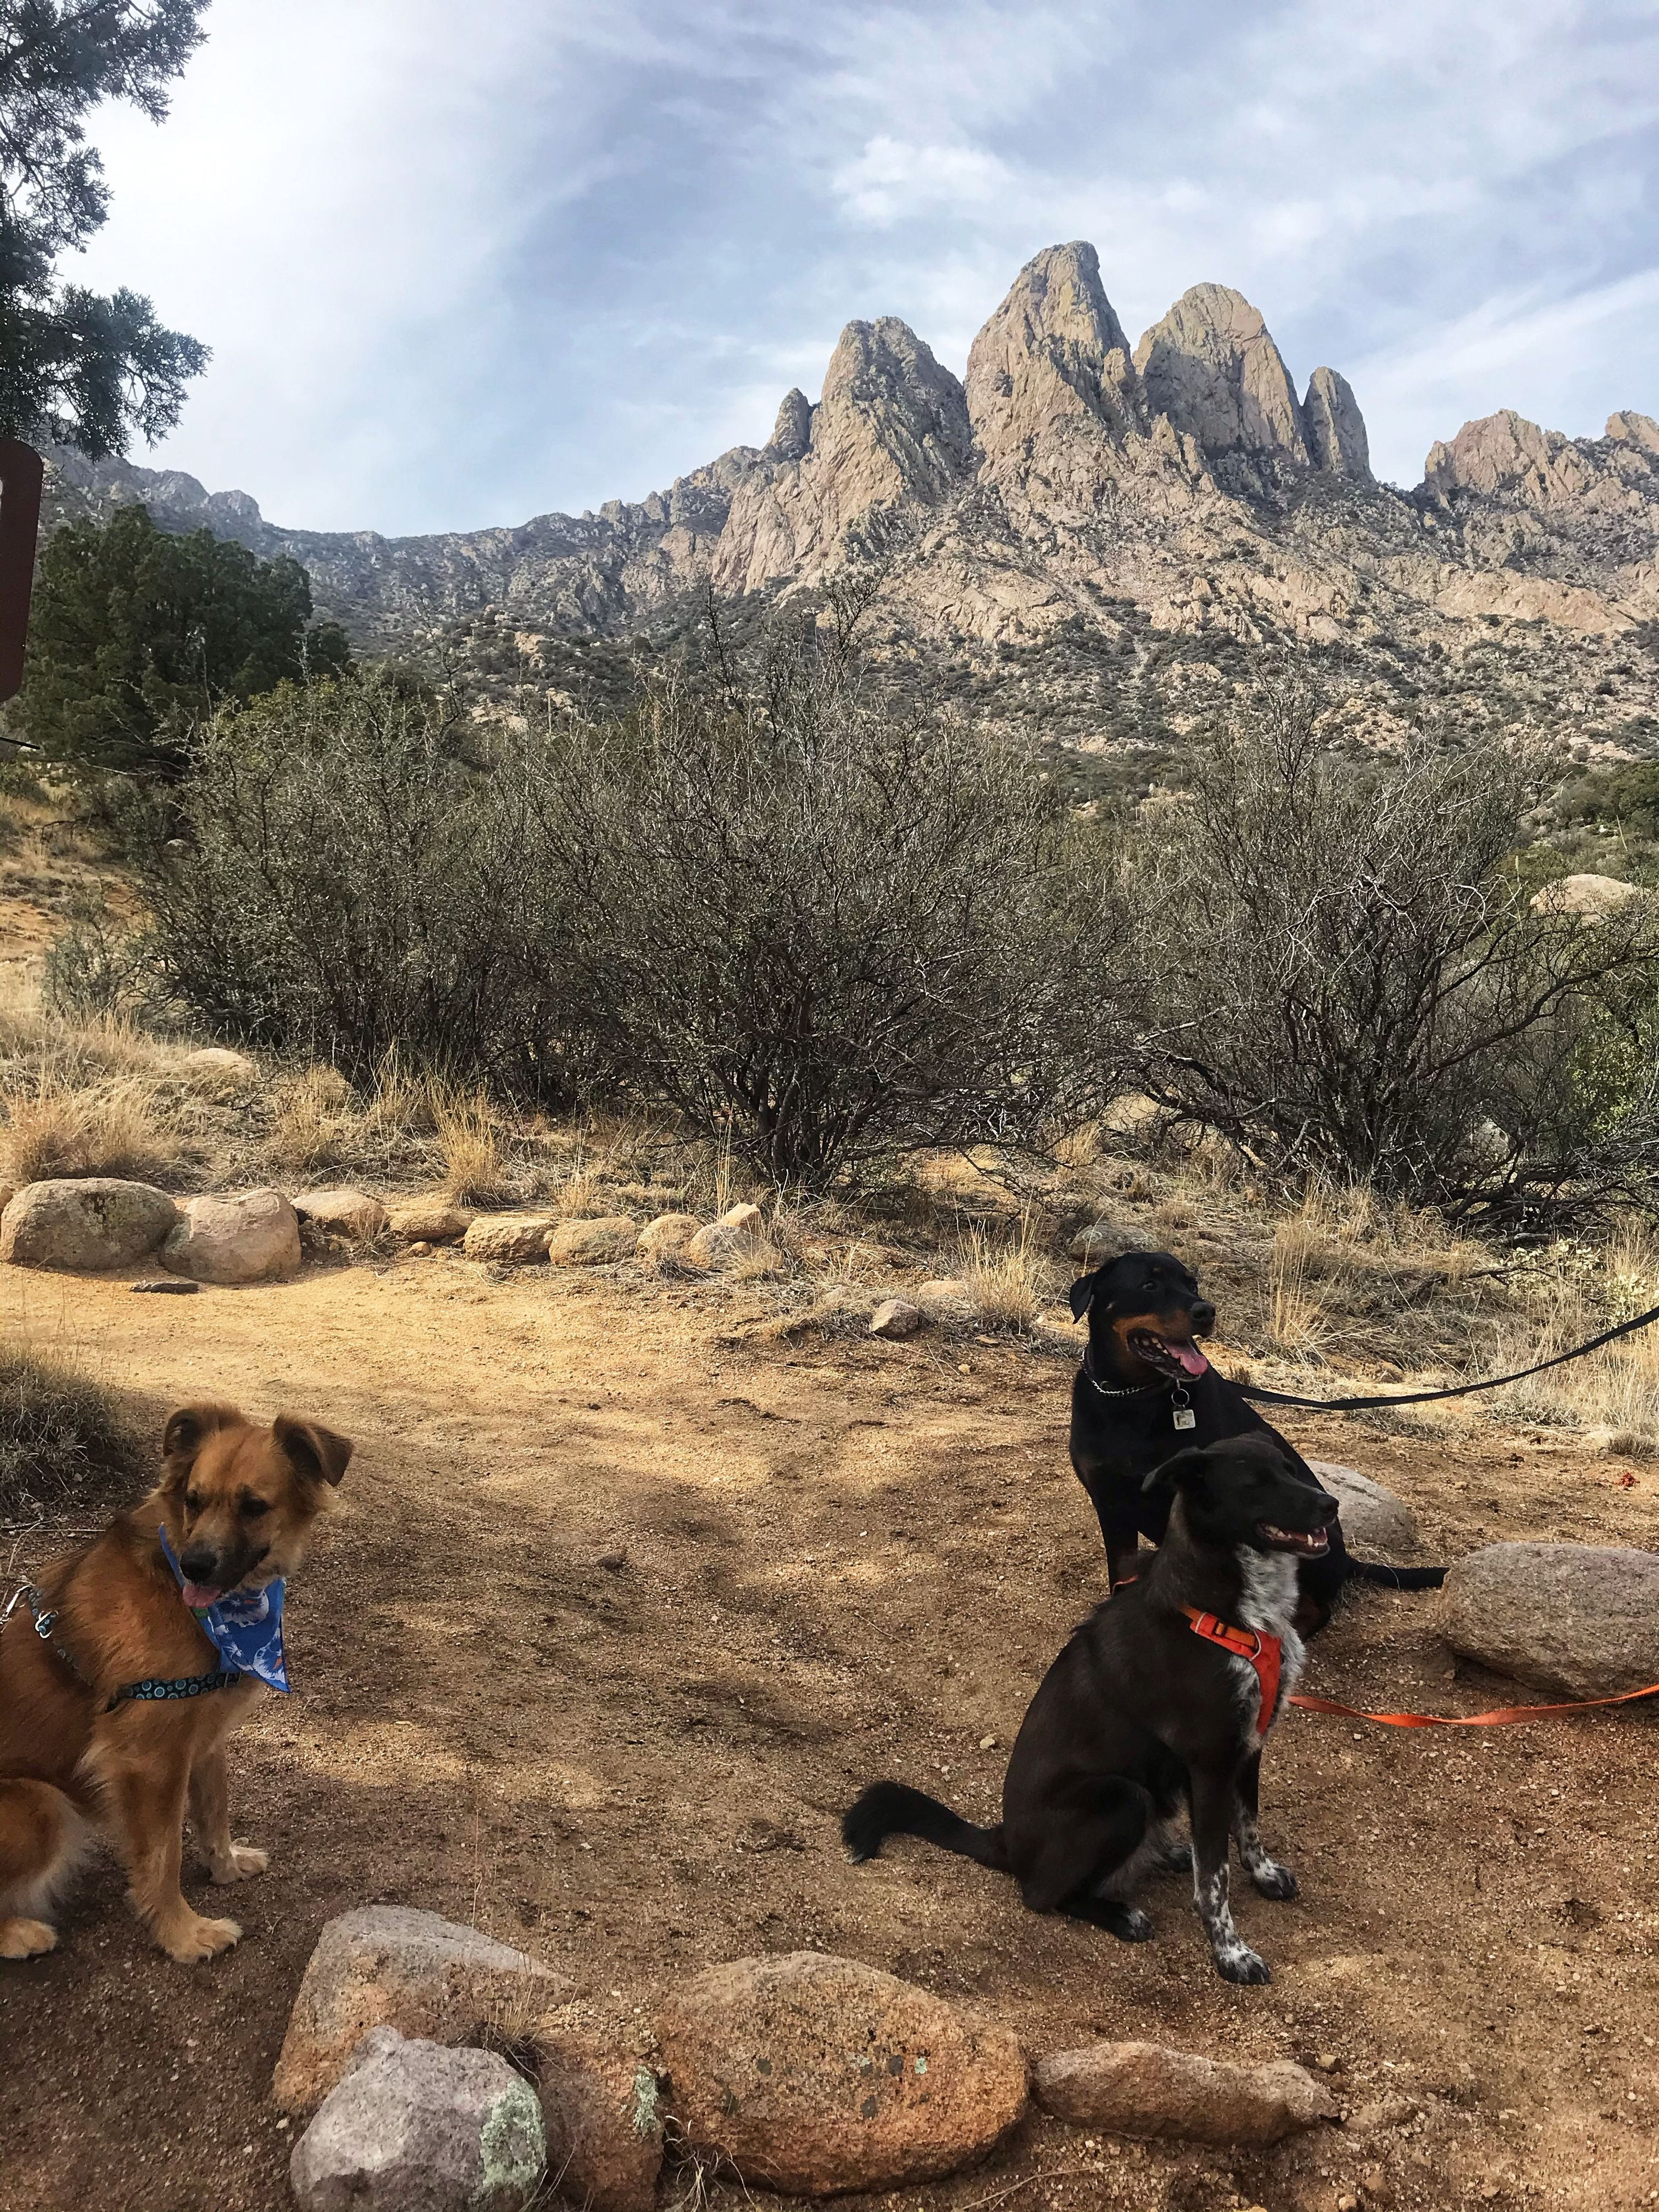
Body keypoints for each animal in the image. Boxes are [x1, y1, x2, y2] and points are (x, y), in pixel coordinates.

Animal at [0, 1407, 352, 1964]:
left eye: (254, 1506)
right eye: (194, 1499)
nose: (196, 1565)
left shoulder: (204, 1734)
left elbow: (214, 1809)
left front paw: (226, 1865)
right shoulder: (150, 1757)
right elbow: (163, 1854)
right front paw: (182, 1933)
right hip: (42, 1805)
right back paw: (20, 1932)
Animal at [849, 1433, 1344, 1991]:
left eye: (1289, 1468)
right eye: (1255, 1481)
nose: (1331, 1505)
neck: (1232, 1614)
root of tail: (1005, 1842)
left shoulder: (1248, 1747)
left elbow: (1249, 1826)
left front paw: (1262, 1875)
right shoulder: (1211, 1762)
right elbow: (1215, 1879)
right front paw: (1230, 1952)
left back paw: (1165, 1852)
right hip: (1121, 1795)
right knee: (1042, 1895)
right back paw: (1121, 1912)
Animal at [1066, 1247, 1442, 1628]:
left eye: (1192, 1284)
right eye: (1149, 1284)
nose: (1206, 1311)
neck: (1133, 1399)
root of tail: (1348, 1560)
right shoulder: (1110, 1505)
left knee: (1316, 1609)